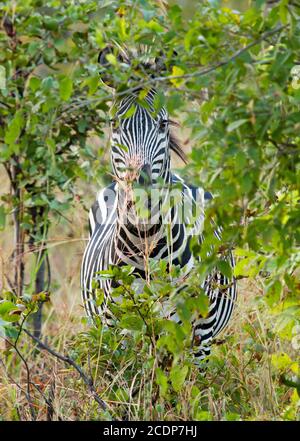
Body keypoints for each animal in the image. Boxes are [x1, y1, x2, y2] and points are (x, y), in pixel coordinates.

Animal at [80, 49, 237, 364]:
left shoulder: (197, 336)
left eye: (162, 123)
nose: (138, 185)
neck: (145, 244)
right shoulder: (119, 331)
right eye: (114, 123)